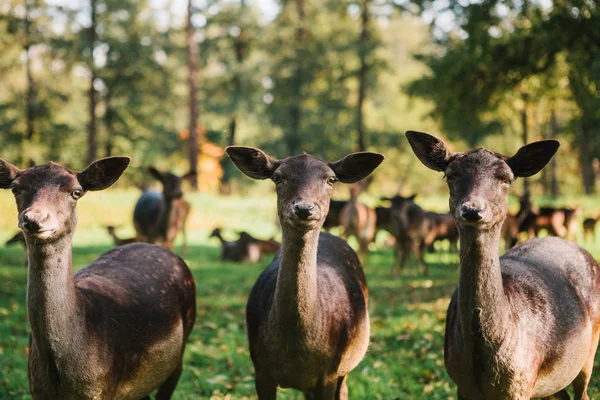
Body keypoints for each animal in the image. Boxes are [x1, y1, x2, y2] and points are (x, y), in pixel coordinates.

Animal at [0, 157, 196, 400]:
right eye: (15, 188)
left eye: (76, 192)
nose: (35, 218)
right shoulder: (36, 388)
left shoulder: (104, 388)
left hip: (182, 344)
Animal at [225, 147, 384, 400]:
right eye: (278, 177)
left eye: (331, 179)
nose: (304, 208)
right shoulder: (260, 369)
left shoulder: (330, 372)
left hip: (348, 364)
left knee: (345, 389)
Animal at [406, 130, 600, 400]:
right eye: (450, 175)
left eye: (506, 179)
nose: (472, 209)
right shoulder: (460, 383)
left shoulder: (519, 382)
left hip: (588, 350)